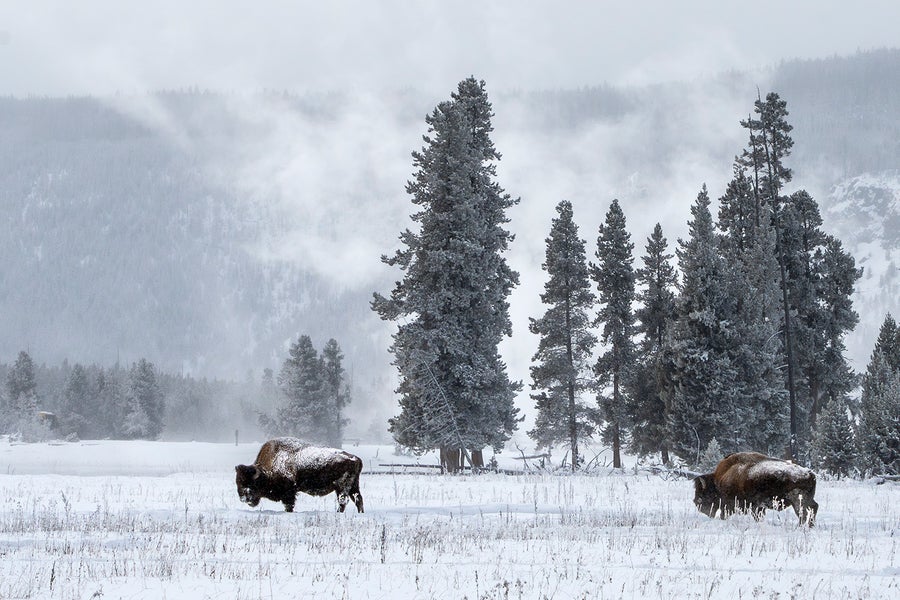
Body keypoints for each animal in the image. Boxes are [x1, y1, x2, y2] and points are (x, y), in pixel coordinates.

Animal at [235, 437, 364, 513]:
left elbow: (289, 505)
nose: (243, 498)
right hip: (353, 486)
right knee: (358, 499)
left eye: (251, 483)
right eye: (238, 482)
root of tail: (355, 458)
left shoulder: (289, 492)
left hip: (342, 487)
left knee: (343, 501)